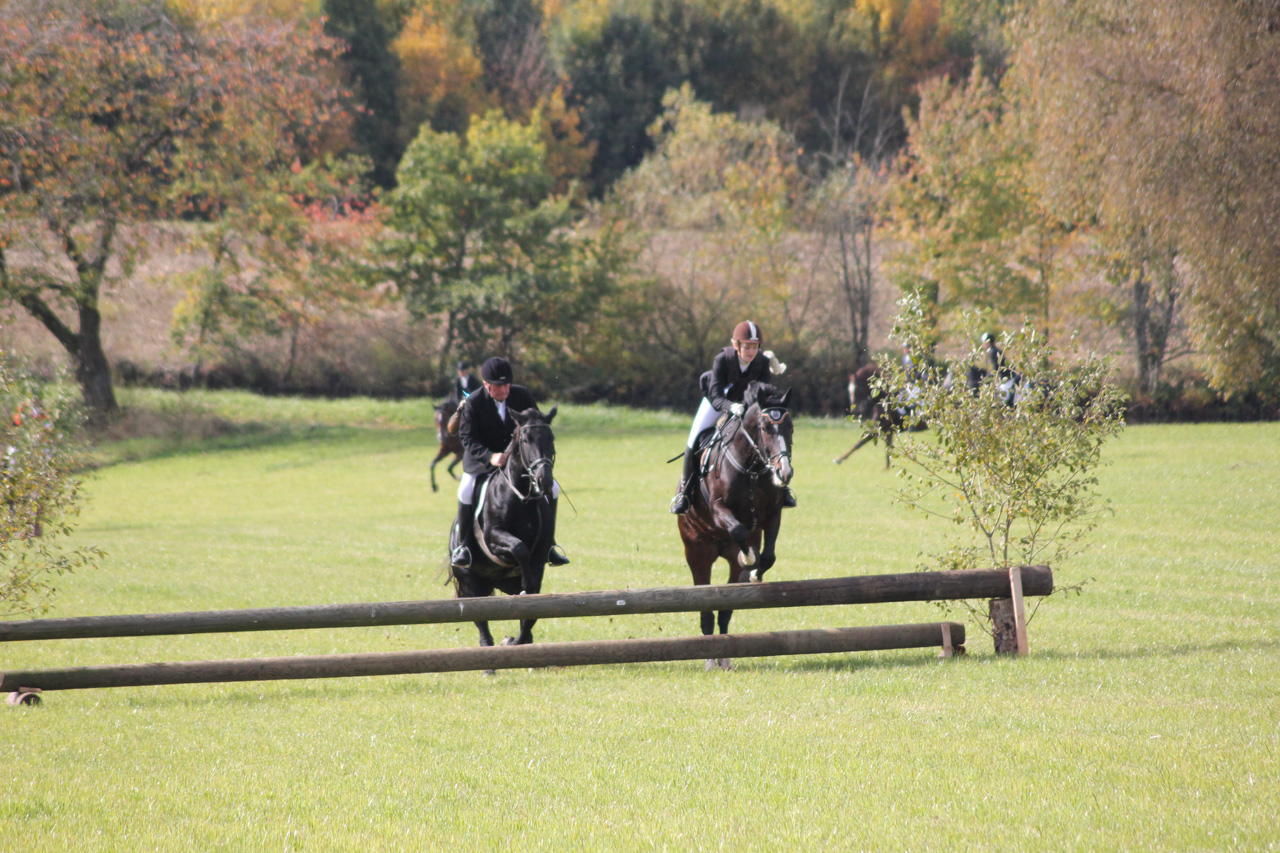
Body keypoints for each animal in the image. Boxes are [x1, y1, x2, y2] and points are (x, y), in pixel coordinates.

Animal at [675, 381, 793, 666]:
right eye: (765, 428)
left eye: (791, 427)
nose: (784, 473)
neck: (751, 466)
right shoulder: (719, 508)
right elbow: (739, 531)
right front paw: (748, 559)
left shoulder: (773, 513)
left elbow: (768, 556)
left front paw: (754, 573)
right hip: (698, 553)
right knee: (704, 603)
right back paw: (710, 659)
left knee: (726, 606)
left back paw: (724, 657)